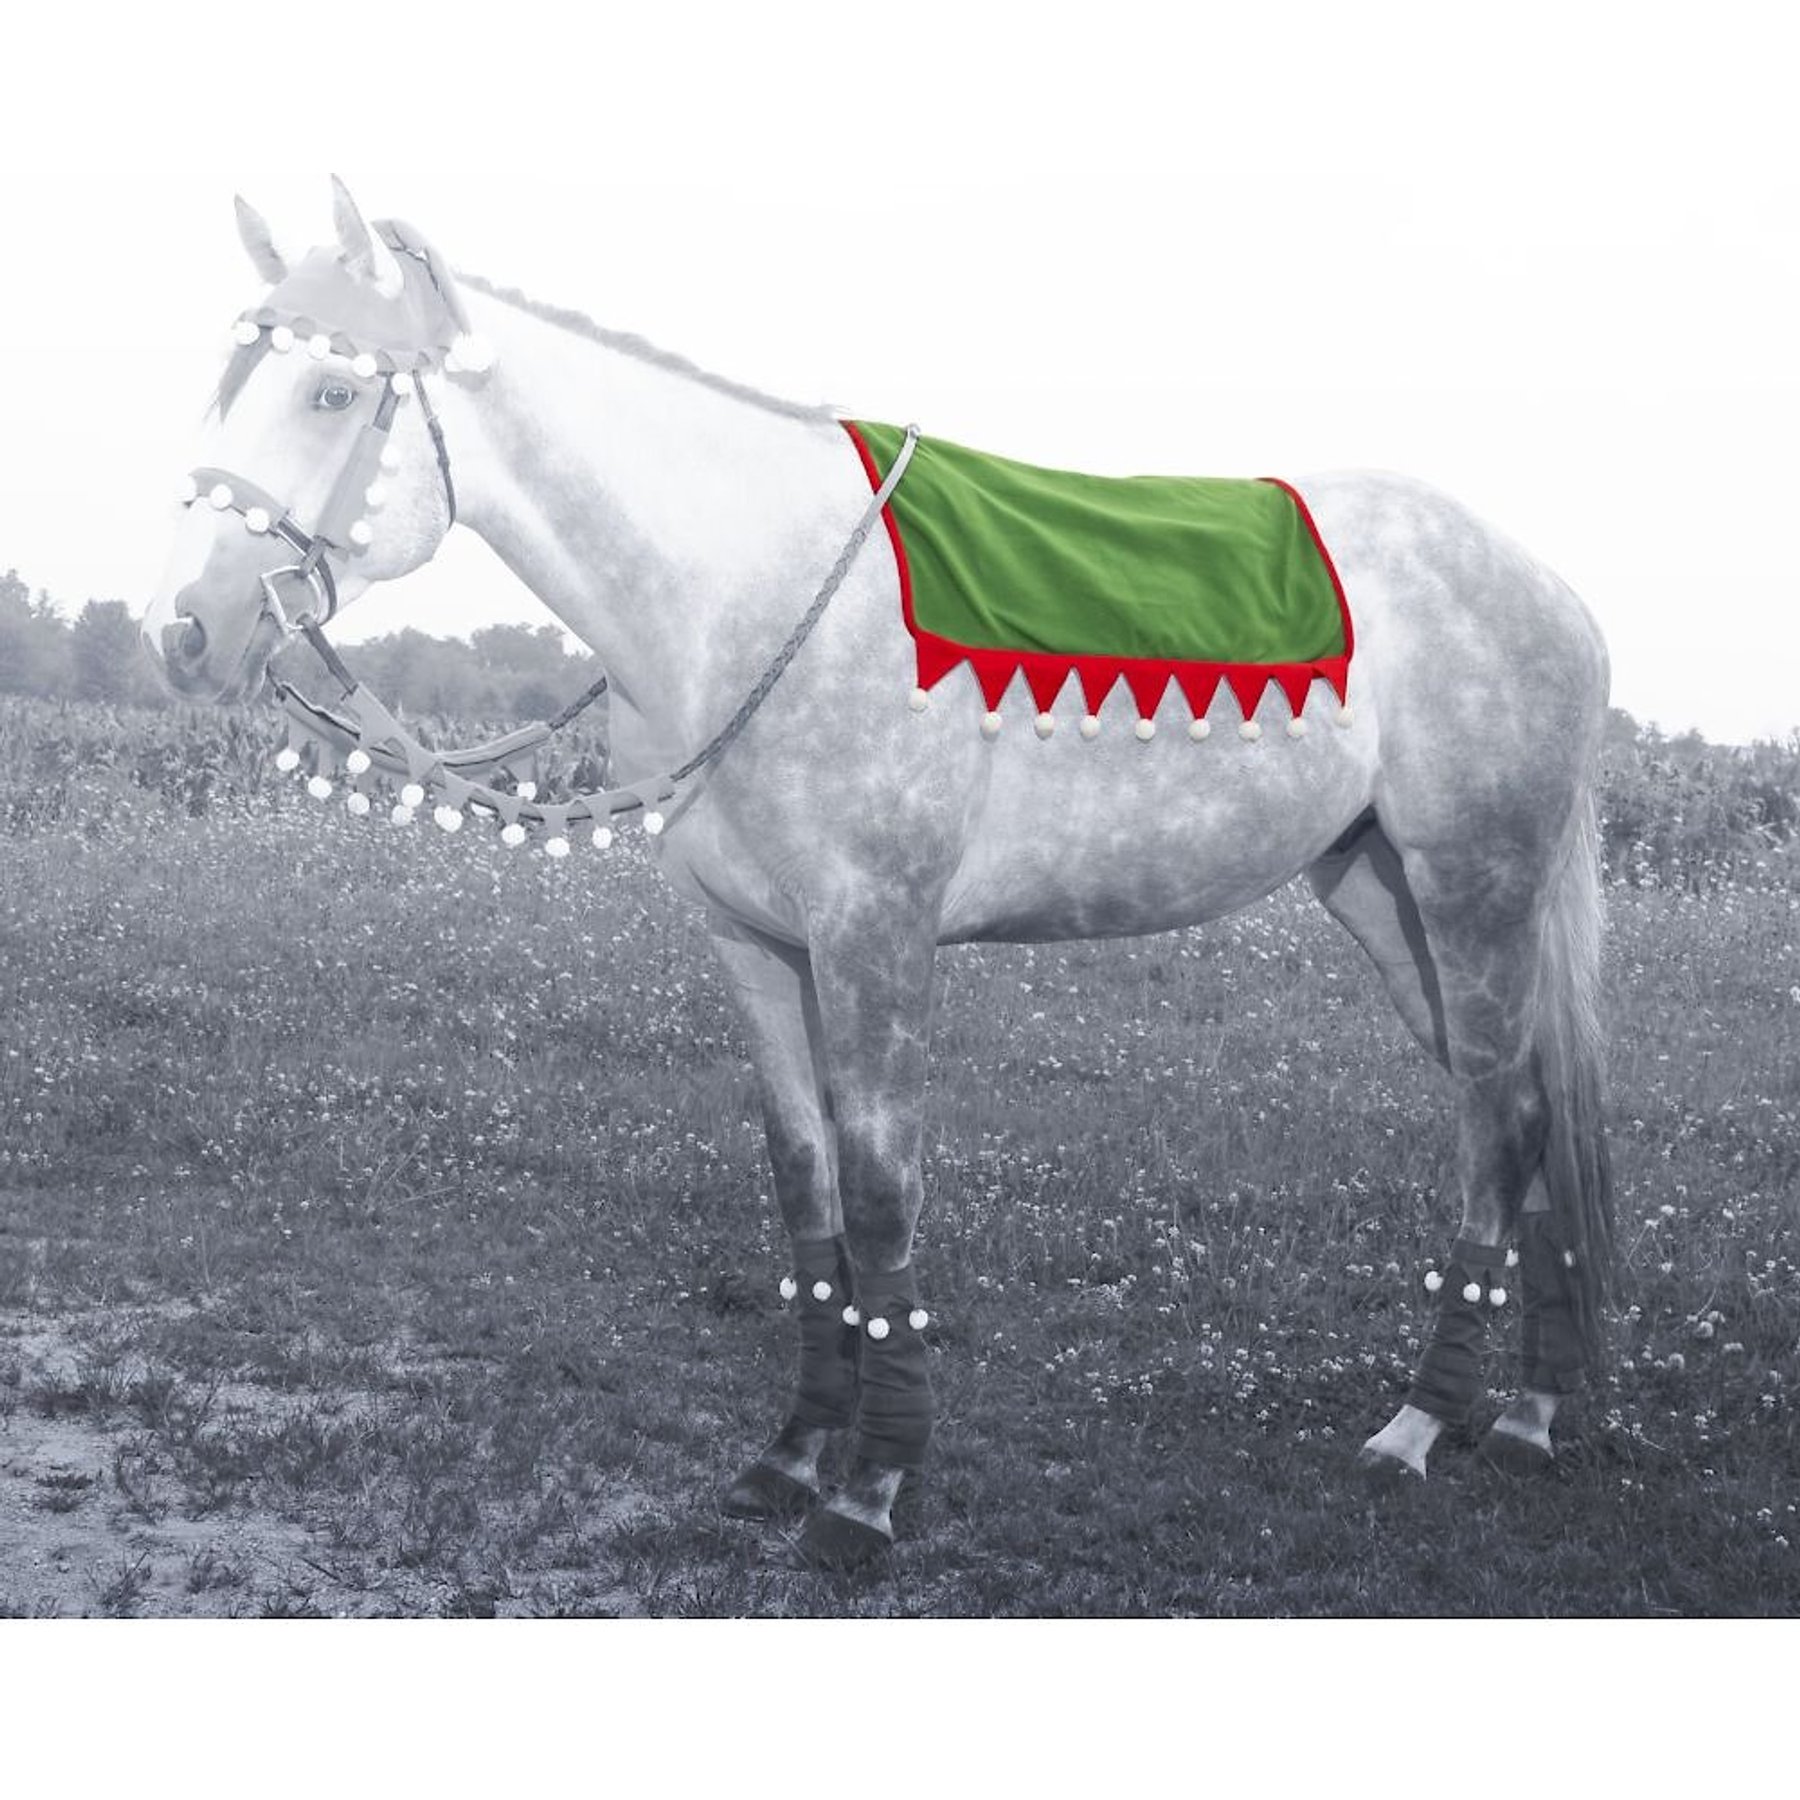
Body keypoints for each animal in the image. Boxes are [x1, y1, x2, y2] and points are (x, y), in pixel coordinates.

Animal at [142, 179, 1614, 1569]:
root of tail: (1553, 590)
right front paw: (796, 1453)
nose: (185, 630)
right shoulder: (756, 950)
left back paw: (1420, 1427)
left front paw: (871, 1490)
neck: (746, 598)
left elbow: (882, 1193)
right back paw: (1530, 1417)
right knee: (1525, 1111)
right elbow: (810, 1193)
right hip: (1383, 898)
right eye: (233, 379)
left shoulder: (875, 941)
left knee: (1497, 1123)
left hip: (1470, 891)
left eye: (333, 388)